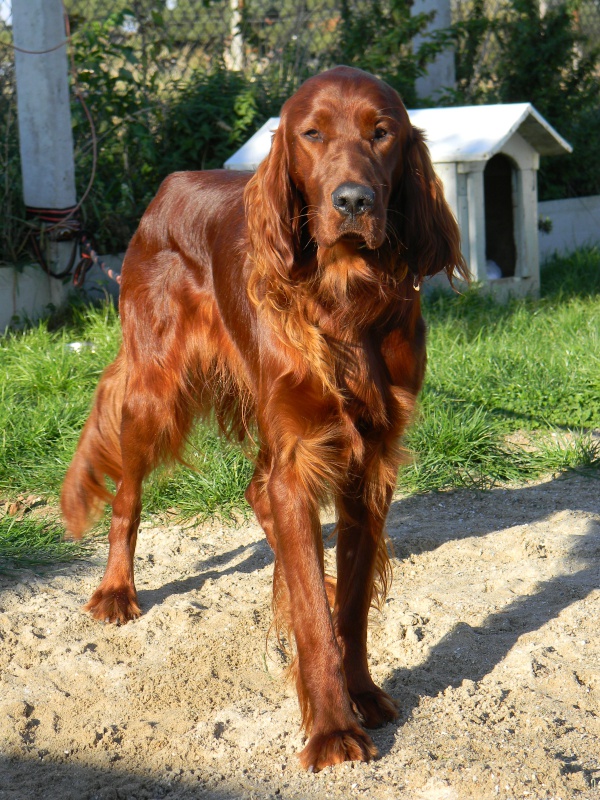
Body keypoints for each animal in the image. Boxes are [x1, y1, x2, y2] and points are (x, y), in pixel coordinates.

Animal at [64, 67, 468, 768]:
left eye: (382, 132)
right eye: (311, 134)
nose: (354, 201)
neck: (344, 297)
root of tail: (168, 187)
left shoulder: (366, 460)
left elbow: (350, 605)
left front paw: (361, 693)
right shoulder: (300, 451)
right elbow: (310, 616)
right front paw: (331, 728)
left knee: (259, 493)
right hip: (153, 387)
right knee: (128, 496)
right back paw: (116, 591)